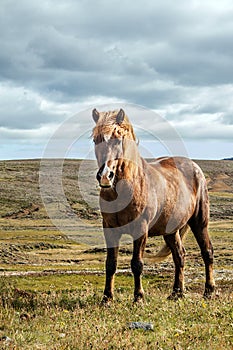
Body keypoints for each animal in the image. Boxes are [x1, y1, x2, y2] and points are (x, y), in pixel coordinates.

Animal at [91, 108, 215, 302]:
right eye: (95, 140)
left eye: (117, 139)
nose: (105, 176)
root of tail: (195, 167)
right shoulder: (109, 229)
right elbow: (111, 264)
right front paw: (107, 298)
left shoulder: (141, 229)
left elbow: (137, 264)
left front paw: (138, 297)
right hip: (171, 231)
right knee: (179, 256)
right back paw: (176, 293)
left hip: (200, 223)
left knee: (207, 251)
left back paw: (209, 291)